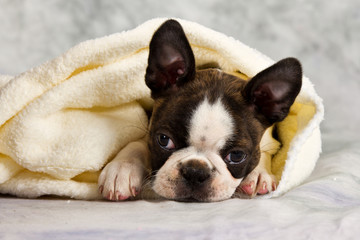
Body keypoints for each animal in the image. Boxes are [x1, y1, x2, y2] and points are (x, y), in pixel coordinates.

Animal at [97, 19, 300, 202]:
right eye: (164, 140)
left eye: (236, 156)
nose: (195, 171)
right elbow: (138, 142)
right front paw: (122, 168)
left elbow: (264, 152)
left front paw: (257, 174)